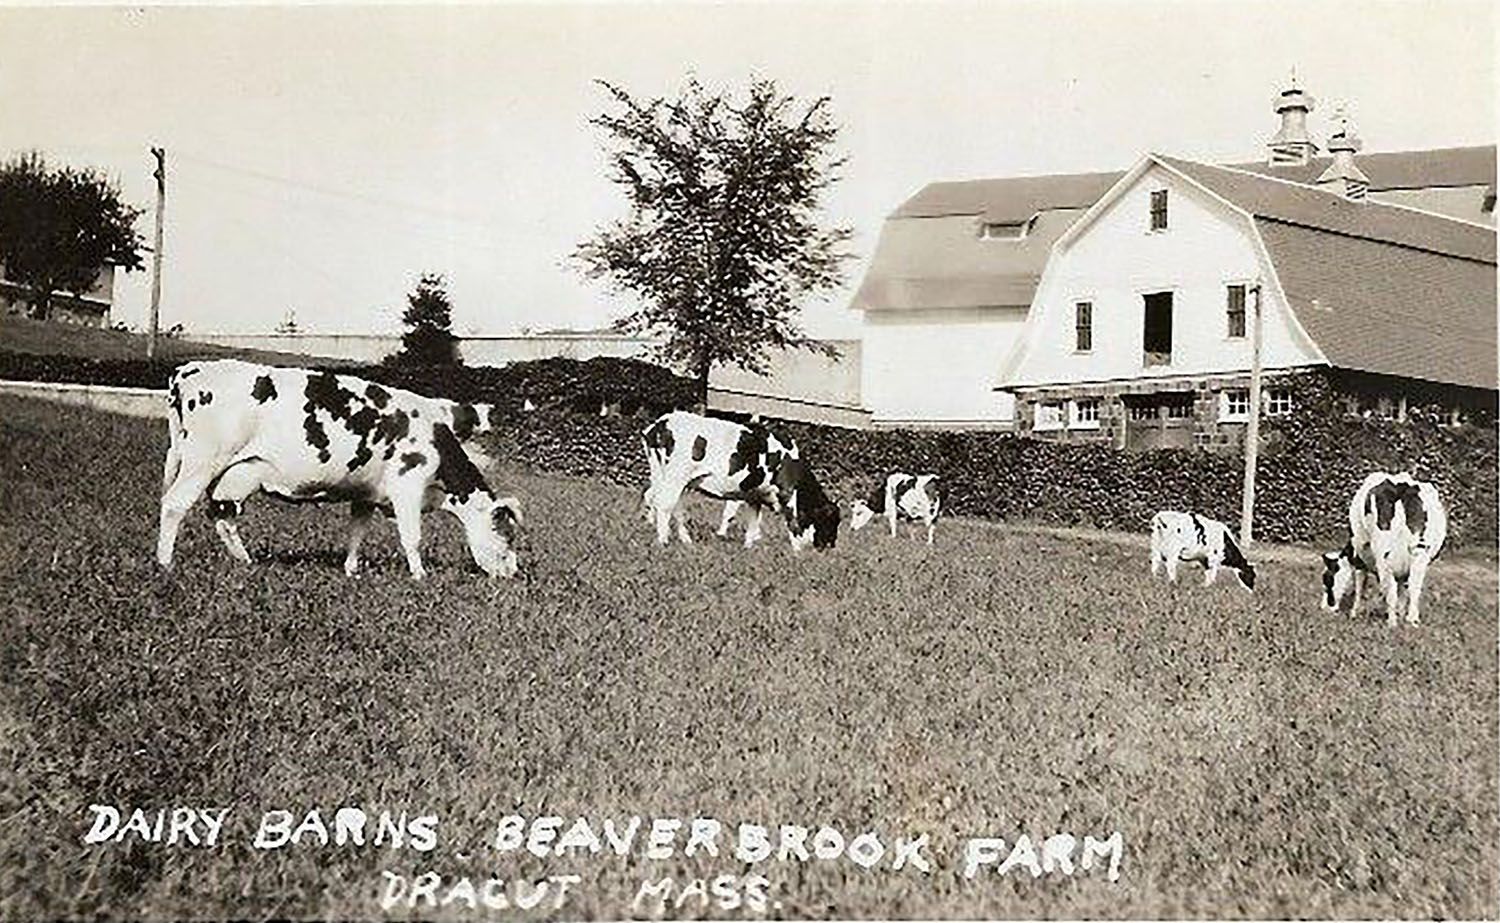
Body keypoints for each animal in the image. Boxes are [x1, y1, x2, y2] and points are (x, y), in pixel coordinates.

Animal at [158, 358, 522, 582]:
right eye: (507, 534)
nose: (513, 573)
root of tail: (188, 369)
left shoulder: (366, 492)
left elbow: (356, 533)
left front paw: (351, 569)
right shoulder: (407, 485)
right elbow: (412, 537)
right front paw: (420, 575)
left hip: (235, 473)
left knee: (223, 515)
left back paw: (245, 561)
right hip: (203, 460)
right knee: (174, 505)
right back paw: (165, 563)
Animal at [639, 414, 840, 555]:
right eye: (831, 520)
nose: (831, 546)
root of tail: (661, 423)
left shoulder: (754, 495)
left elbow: (752, 521)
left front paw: (748, 546)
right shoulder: (787, 493)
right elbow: (793, 523)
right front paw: (797, 552)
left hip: (663, 476)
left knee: (666, 502)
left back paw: (684, 539)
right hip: (676, 476)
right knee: (665, 505)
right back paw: (663, 541)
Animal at [1320, 468, 1446, 627]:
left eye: (1327, 579)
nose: (1323, 608)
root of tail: (1401, 485)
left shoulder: (1359, 558)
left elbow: (1360, 585)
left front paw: (1355, 612)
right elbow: (1403, 591)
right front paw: (1401, 613)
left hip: (1384, 553)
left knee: (1389, 589)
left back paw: (1391, 623)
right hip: (1419, 551)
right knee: (1414, 586)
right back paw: (1412, 620)